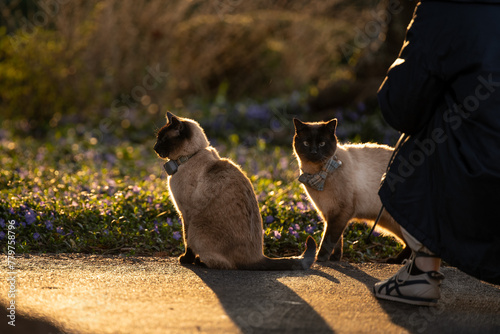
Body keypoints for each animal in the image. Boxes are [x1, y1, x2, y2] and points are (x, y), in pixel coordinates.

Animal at [153, 113, 316, 270]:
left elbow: (187, 242)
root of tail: (258, 257)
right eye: (158, 138)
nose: (154, 148)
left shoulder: (185, 215)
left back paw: (200, 262)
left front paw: (186, 260)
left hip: (197, 228)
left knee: (226, 264)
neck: (189, 157)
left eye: (163, 140)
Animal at [294, 118, 408, 262]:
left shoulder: (341, 212)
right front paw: (335, 258)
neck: (317, 175)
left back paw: (396, 261)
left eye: (322, 144)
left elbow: (328, 240)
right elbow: (338, 241)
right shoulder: (329, 213)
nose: (314, 152)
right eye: (306, 143)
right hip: (388, 222)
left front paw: (319, 259)